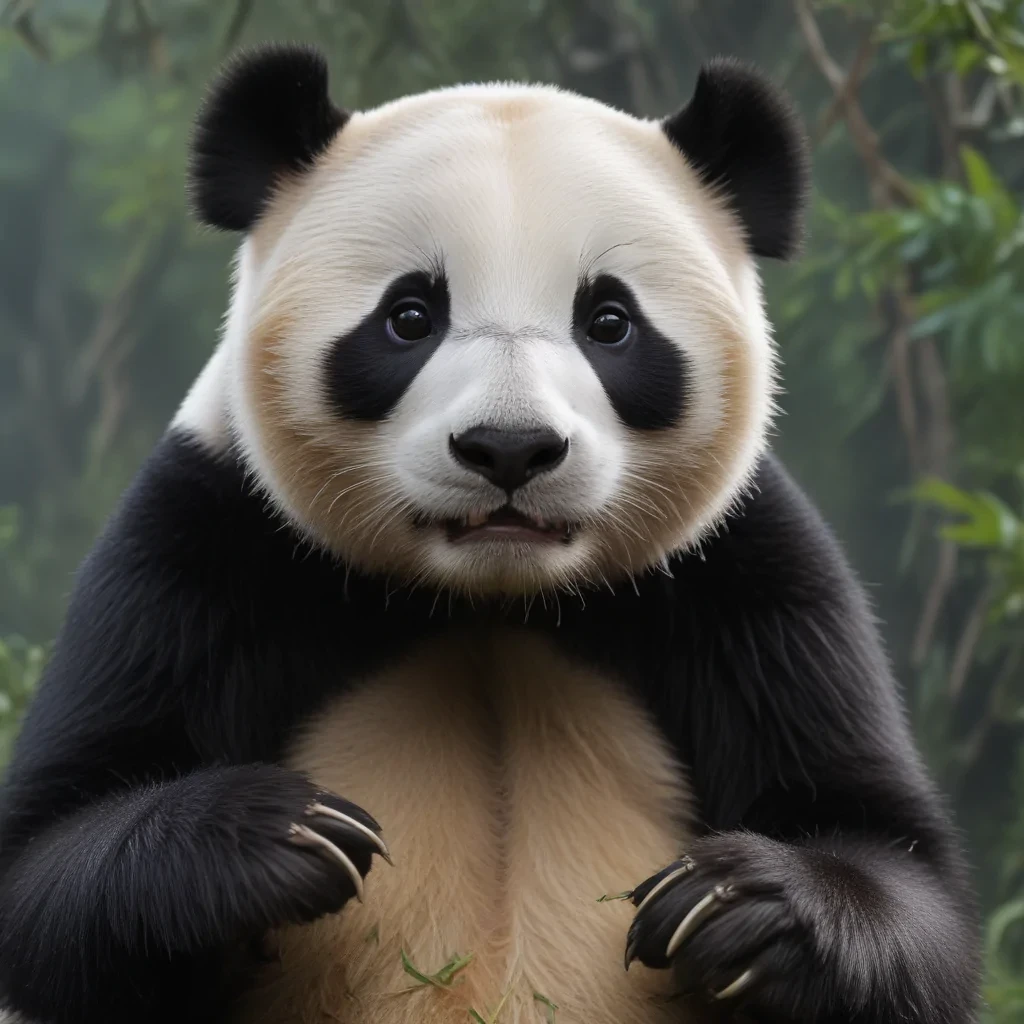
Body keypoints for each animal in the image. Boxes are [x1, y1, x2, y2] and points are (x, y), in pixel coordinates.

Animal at [0, 42, 980, 1024]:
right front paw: (280, 835)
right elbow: (52, 855)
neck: (491, 595)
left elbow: (884, 853)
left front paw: (736, 905)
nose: (510, 448)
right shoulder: (207, 536)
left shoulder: (747, 572)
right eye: (409, 315)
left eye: (610, 321)